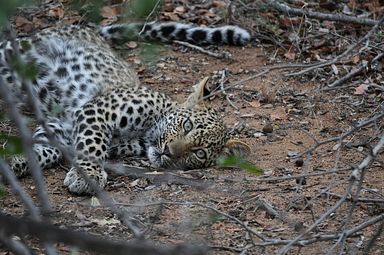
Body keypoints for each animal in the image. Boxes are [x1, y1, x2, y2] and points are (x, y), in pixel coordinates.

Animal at [0, 21, 250, 194]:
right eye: (187, 126)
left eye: (199, 153)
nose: (168, 152)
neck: (147, 134)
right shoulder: (96, 110)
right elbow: (92, 144)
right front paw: (87, 176)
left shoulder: (63, 129)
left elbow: (45, 151)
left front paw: (15, 162)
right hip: (12, 50)